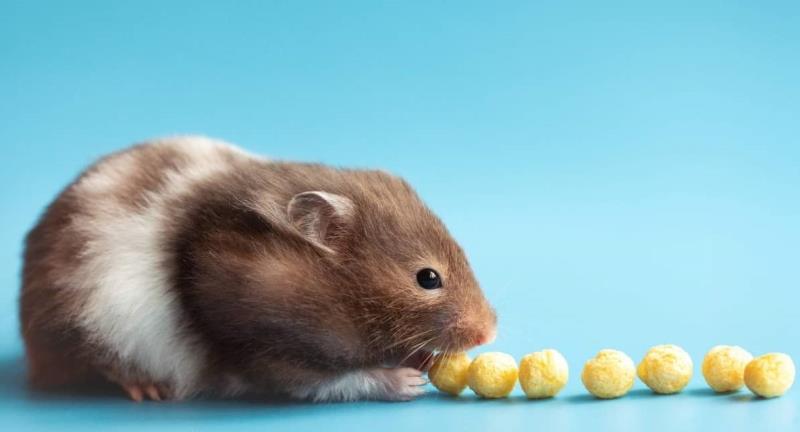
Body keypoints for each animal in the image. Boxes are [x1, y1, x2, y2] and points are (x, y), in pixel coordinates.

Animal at [20, 136, 497, 402]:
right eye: (428, 278)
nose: (490, 332)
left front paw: (421, 360)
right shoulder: (262, 350)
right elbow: (332, 381)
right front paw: (408, 383)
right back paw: (147, 389)